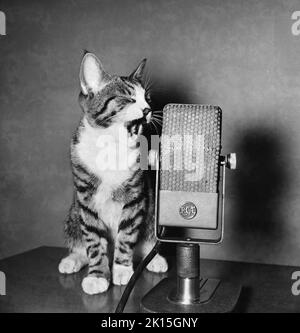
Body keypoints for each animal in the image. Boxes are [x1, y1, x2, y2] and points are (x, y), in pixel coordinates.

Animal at [57, 51, 168, 294]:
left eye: (147, 98)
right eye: (128, 98)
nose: (147, 110)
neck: (111, 147)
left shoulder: (135, 196)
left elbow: (127, 234)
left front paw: (123, 270)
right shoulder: (86, 199)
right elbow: (93, 240)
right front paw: (98, 275)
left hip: (152, 211)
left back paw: (153, 259)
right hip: (73, 212)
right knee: (80, 239)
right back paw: (73, 259)